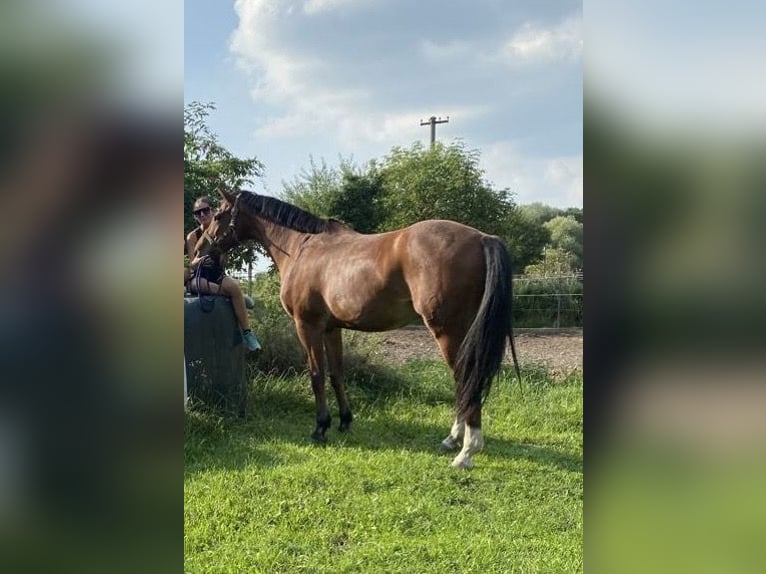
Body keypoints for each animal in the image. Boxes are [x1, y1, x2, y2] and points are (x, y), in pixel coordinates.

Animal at [198, 189, 520, 468]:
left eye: (218, 215)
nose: (201, 249)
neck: (301, 248)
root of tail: (482, 238)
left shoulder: (307, 326)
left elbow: (316, 375)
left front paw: (320, 428)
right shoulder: (331, 329)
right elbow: (337, 374)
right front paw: (344, 421)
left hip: (448, 332)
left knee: (467, 379)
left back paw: (466, 452)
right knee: (463, 383)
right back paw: (452, 440)